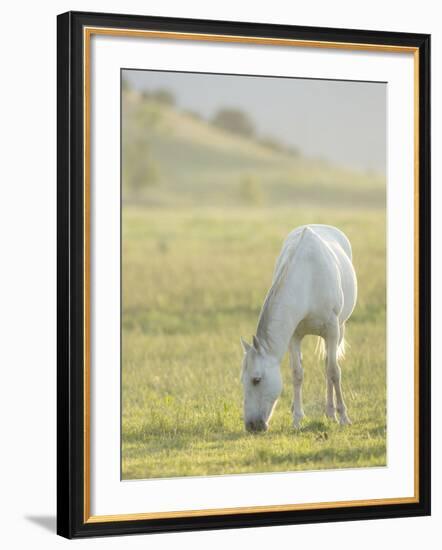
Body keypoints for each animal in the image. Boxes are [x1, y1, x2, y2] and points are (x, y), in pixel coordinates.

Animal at [240, 226, 358, 434]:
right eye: (242, 380)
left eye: (256, 380)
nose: (251, 426)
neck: (308, 279)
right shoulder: (294, 336)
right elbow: (297, 373)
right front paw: (296, 419)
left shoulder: (332, 330)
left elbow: (334, 371)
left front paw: (344, 416)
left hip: (339, 329)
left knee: (329, 365)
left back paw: (331, 413)